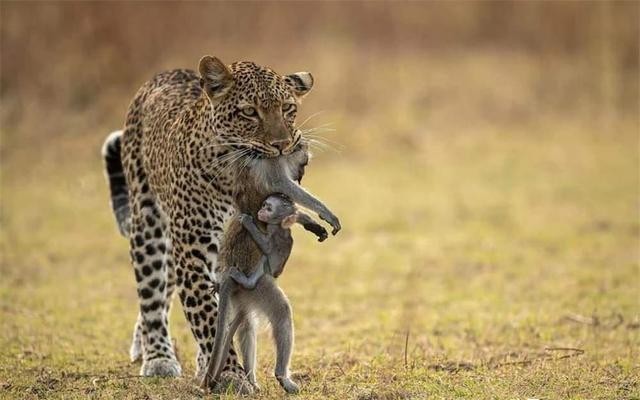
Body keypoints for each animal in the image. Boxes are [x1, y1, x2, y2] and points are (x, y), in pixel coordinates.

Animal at [102, 54, 332, 392]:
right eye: (249, 111)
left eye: (288, 108)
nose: (282, 144)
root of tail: (164, 74)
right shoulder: (193, 251)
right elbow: (209, 319)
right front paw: (229, 374)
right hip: (149, 224)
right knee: (152, 293)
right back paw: (157, 356)